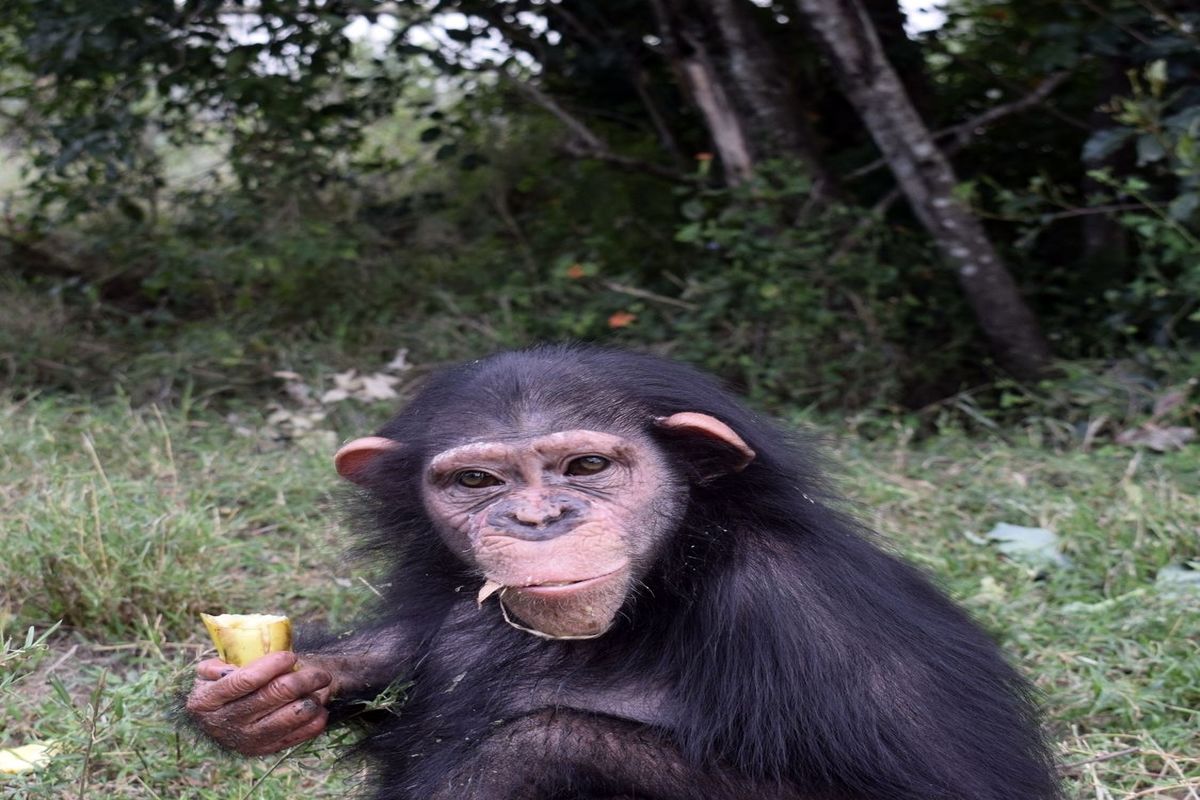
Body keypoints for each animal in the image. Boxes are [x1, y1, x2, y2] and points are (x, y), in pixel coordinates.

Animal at [187, 345, 1060, 800]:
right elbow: (405, 645)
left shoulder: (818, 619)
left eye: (586, 466)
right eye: (477, 482)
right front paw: (264, 695)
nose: (537, 519)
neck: (668, 575)